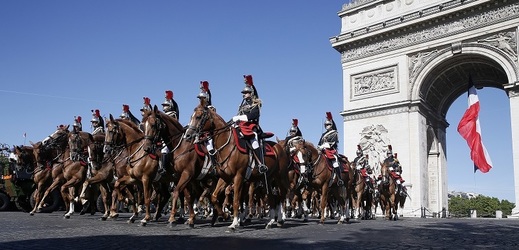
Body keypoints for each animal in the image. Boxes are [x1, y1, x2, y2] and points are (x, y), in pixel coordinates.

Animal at [183, 98, 290, 230]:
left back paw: (279, 219)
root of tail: (279, 148)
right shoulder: (225, 177)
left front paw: (234, 223)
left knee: (281, 196)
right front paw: (224, 215)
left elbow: (236, 201)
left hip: (280, 177)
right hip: (267, 179)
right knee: (271, 197)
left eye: (198, 117)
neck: (227, 146)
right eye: (191, 116)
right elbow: (214, 197)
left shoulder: (238, 177)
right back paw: (270, 221)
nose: (188, 135)